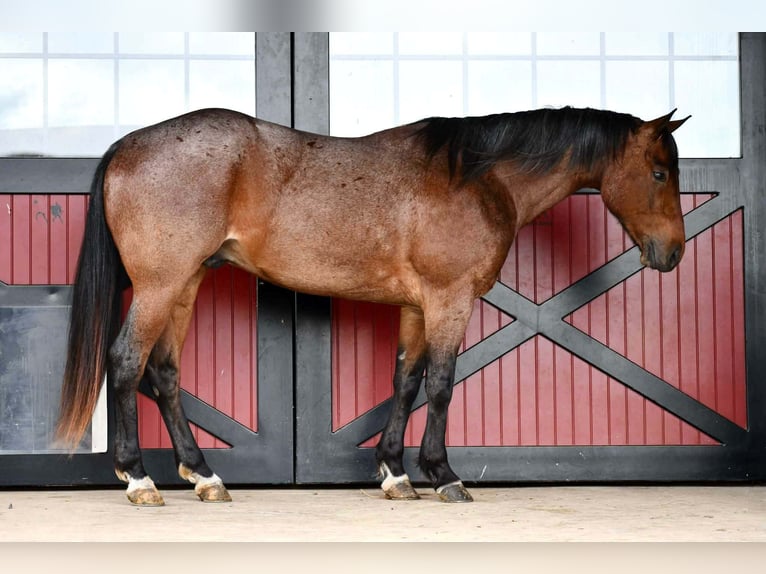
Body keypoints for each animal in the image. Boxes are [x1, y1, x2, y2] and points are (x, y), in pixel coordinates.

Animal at [56, 105, 689, 505]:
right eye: (659, 172)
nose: (674, 253)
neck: (479, 178)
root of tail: (127, 145)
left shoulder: (416, 307)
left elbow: (405, 381)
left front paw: (394, 474)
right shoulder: (449, 299)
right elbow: (440, 385)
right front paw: (442, 475)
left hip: (185, 284)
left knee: (163, 372)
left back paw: (205, 476)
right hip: (160, 285)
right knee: (127, 363)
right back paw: (140, 479)